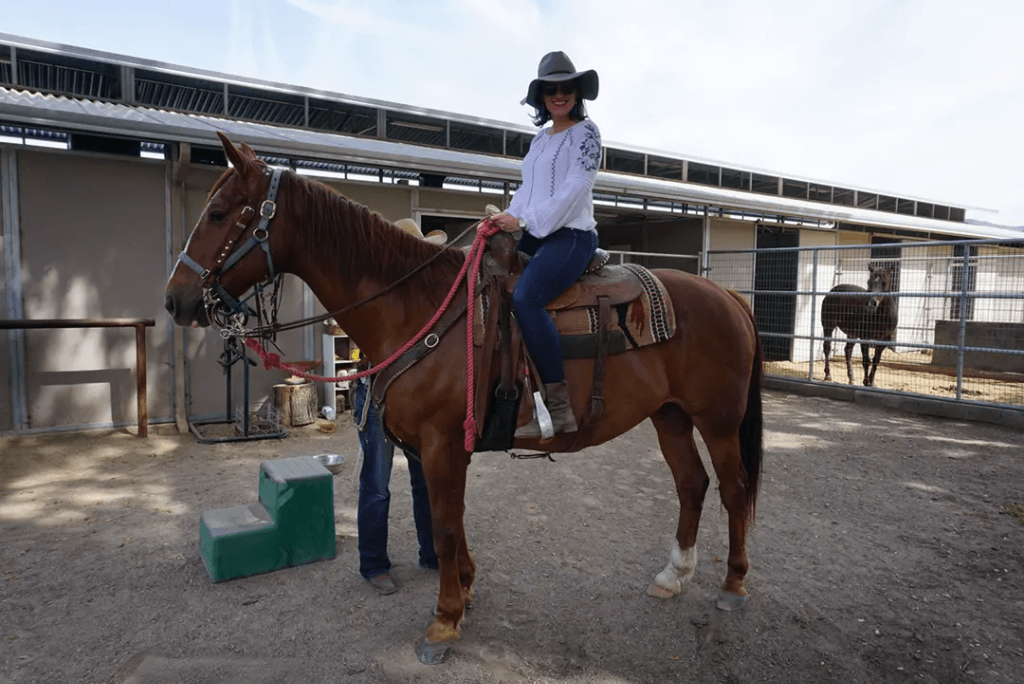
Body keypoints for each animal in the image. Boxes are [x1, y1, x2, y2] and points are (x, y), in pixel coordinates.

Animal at [163, 132, 765, 663]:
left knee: (734, 489)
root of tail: (726, 295)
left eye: (219, 213)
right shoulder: (433, 448)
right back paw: (673, 575)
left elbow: (447, 527)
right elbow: (448, 519)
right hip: (670, 415)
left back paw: (733, 585)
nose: (175, 300)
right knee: (692, 485)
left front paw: (445, 620)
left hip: (717, 419)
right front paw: (467, 591)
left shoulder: (442, 444)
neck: (417, 306)